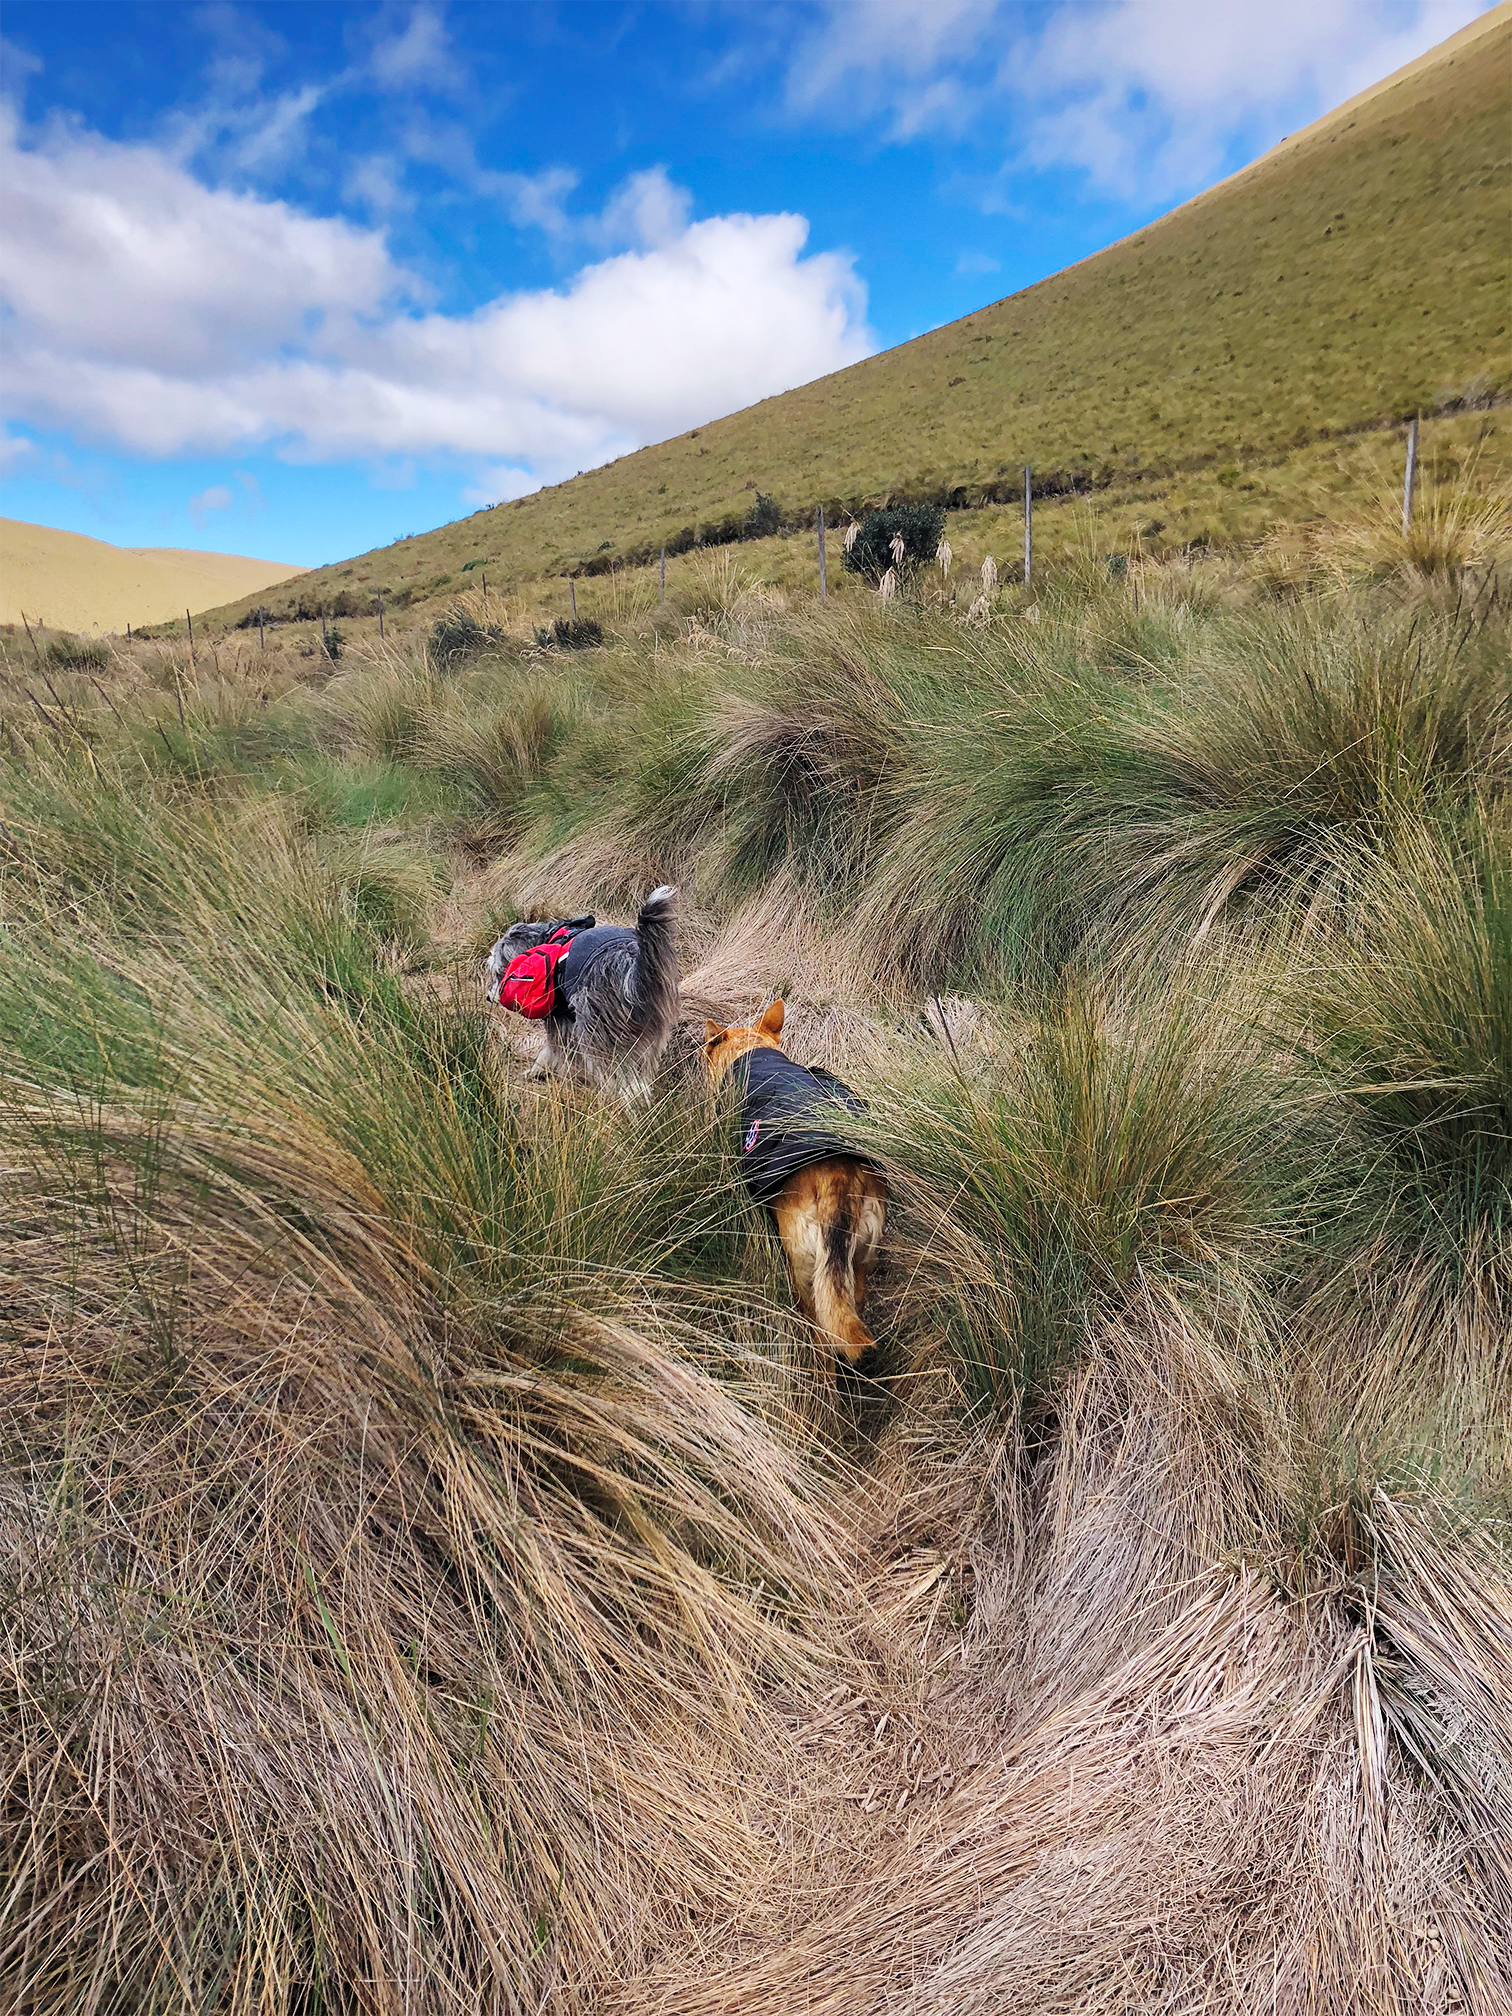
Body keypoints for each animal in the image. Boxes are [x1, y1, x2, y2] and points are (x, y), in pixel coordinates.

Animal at [487, 887, 685, 1104]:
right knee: (639, 1078)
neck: (548, 938)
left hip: (595, 1027)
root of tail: (627, 962)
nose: (488, 997)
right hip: (649, 1031)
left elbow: (551, 1050)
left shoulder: (561, 1020)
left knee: (616, 1077)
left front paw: (536, 1071)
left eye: (498, 972)